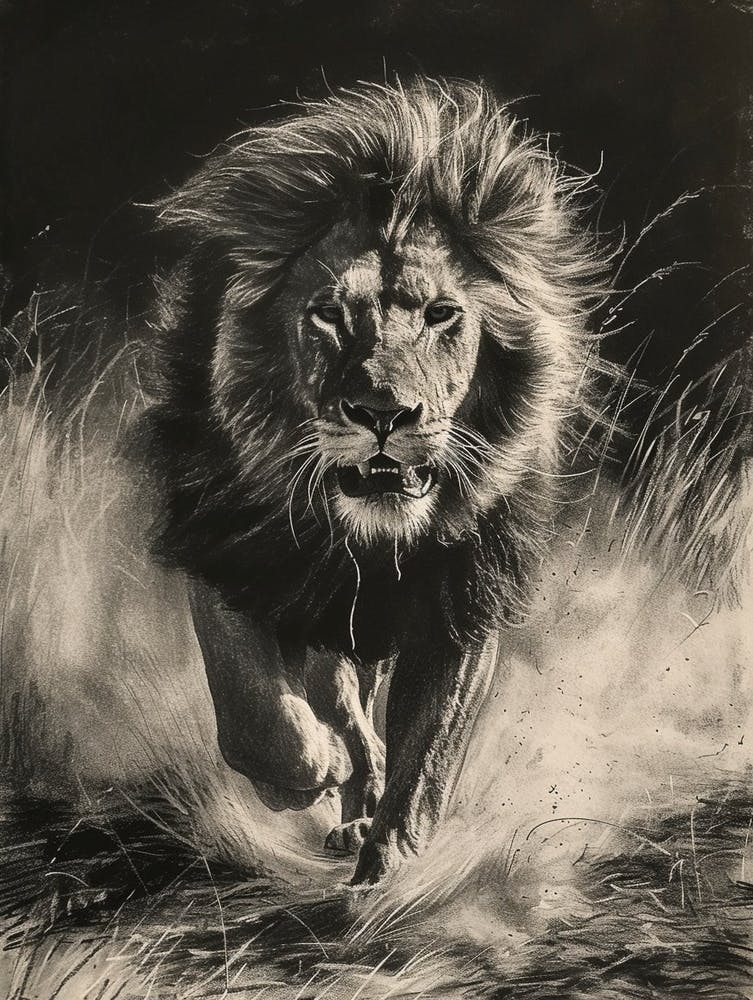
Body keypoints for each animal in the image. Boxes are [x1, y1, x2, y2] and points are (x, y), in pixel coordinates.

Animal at [139, 78, 604, 885]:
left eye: (442, 314)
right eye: (327, 314)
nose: (385, 414)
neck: (363, 540)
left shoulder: (459, 601)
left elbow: (429, 752)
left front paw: (394, 864)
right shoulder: (229, 558)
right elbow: (258, 717)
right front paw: (309, 774)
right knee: (332, 700)